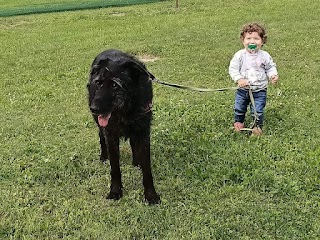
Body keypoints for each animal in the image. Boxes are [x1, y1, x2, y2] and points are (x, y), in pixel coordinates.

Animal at [87, 48, 160, 204]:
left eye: (115, 84)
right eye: (99, 83)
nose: (93, 108)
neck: (126, 110)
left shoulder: (143, 133)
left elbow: (147, 168)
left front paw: (150, 195)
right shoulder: (111, 135)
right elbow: (115, 168)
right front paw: (115, 191)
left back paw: (136, 162)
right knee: (101, 137)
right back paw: (103, 157)